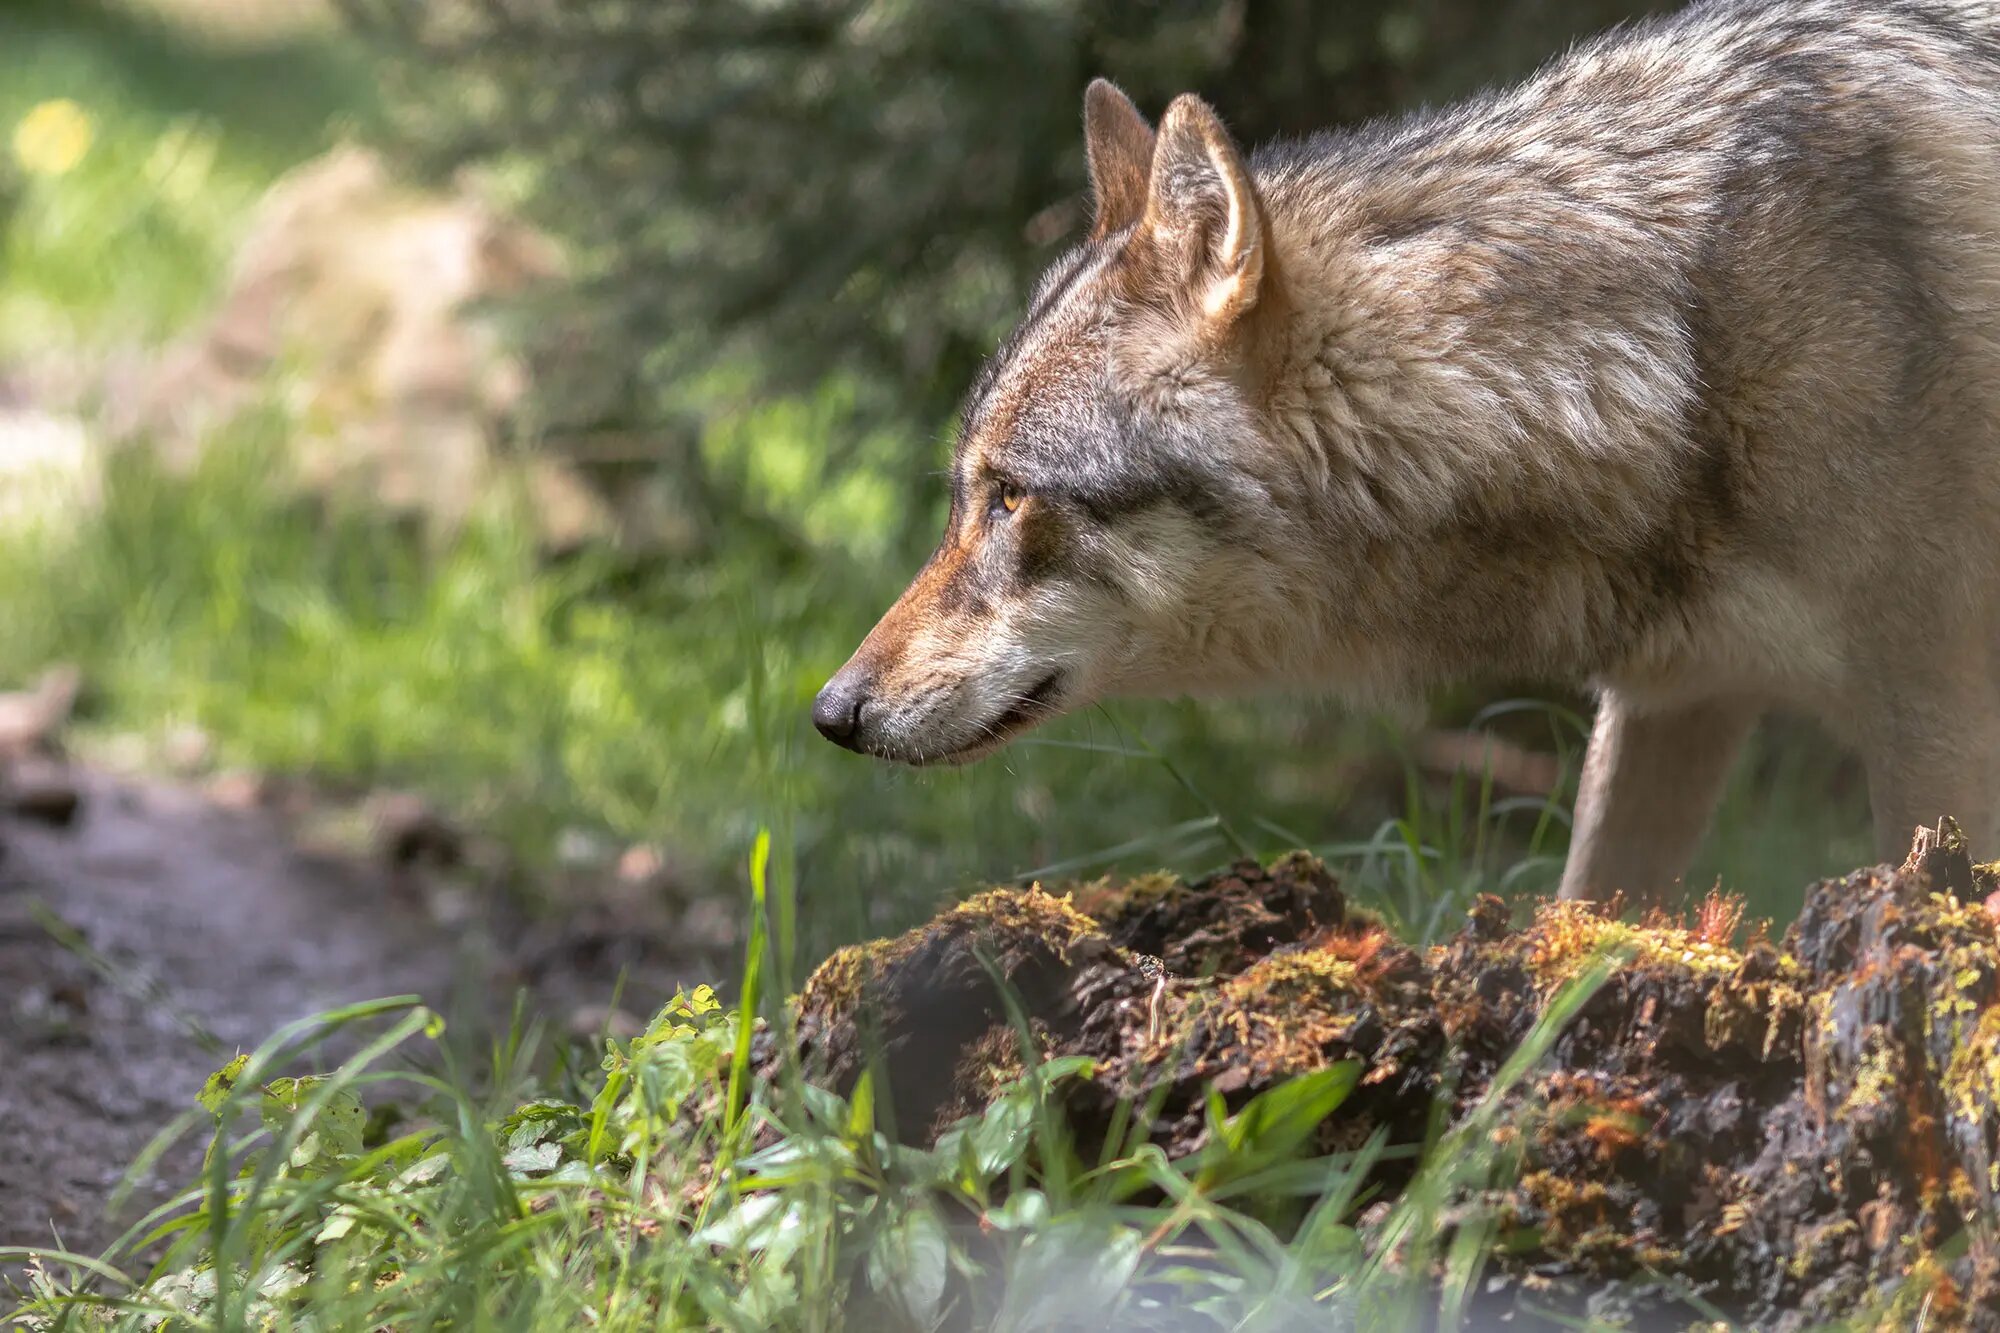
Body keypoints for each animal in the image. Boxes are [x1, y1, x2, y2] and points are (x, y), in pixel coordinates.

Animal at [813, 0, 2000, 906]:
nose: (831, 711)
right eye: (967, 493)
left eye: (1011, 498)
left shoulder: (1934, 721)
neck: (1675, 351)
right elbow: (1586, 915)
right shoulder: (1675, 693)